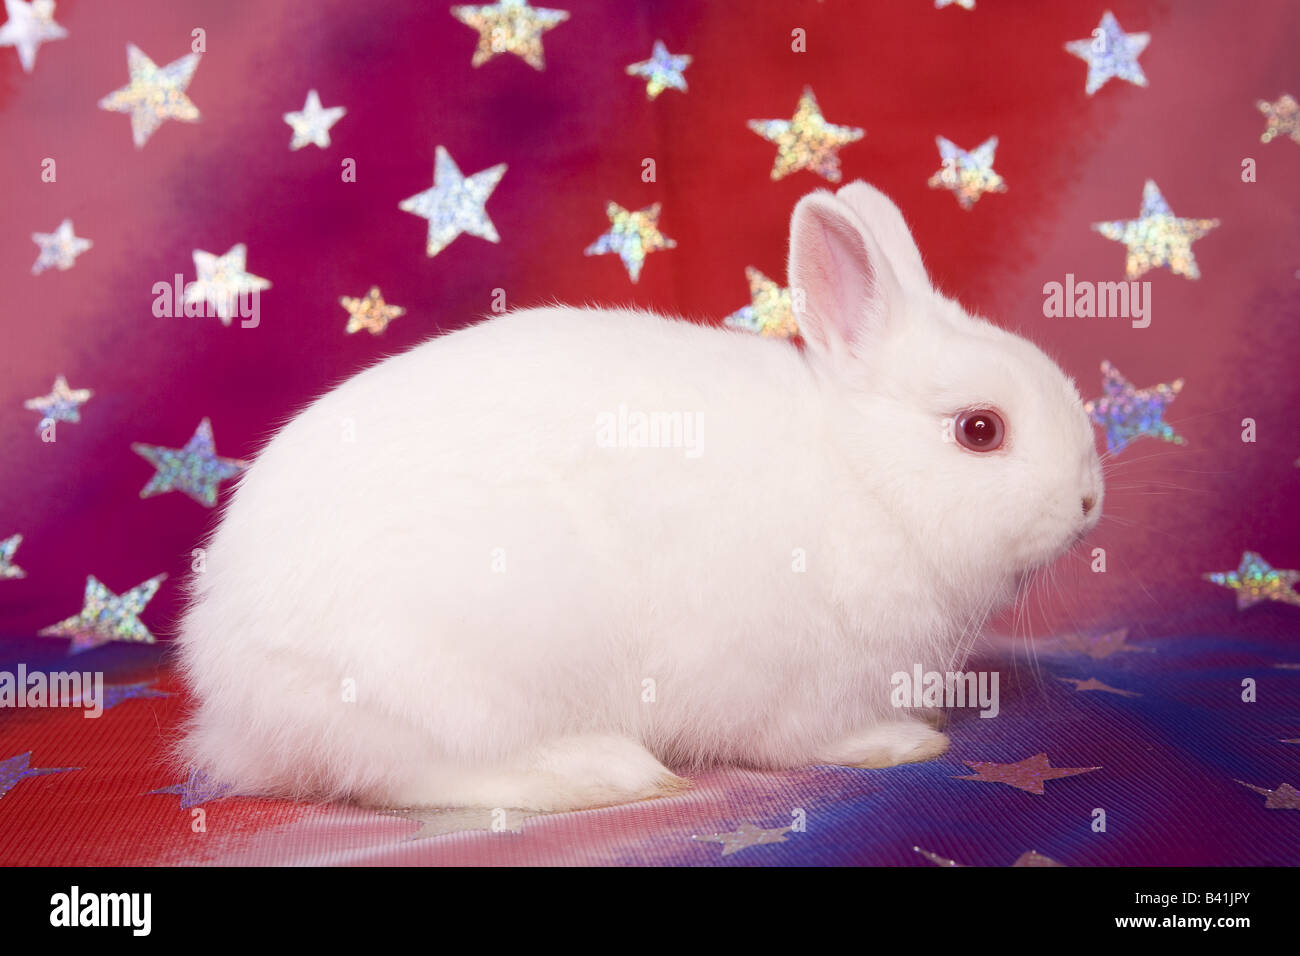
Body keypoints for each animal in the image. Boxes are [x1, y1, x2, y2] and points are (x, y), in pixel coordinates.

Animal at [178, 179, 1102, 806]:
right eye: (980, 430)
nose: (1090, 502)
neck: (865, 476)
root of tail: (230, 688)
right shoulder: (798, 682)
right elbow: (809, 738)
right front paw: (904, 742)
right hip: (449, 677)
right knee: (425, 773)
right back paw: (604, 771)